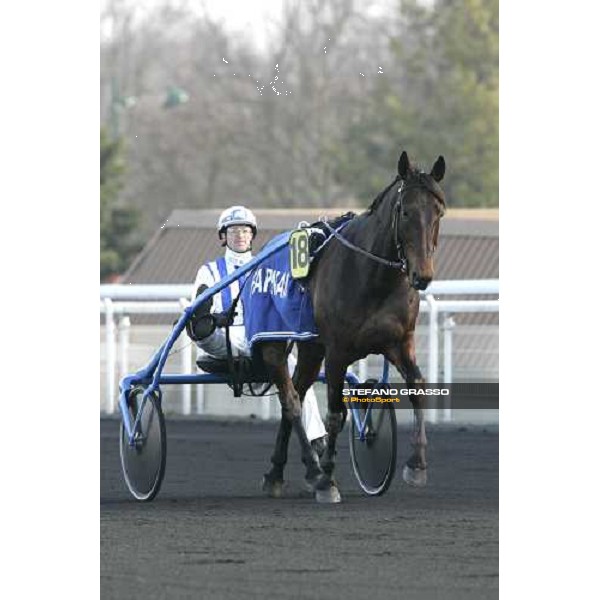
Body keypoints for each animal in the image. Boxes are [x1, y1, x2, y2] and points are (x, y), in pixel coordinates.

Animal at [258, 150, 446, 502]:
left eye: (438, 212)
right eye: (406, 211)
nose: (423, 275)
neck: (373, 277)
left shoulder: (400, 342)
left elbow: (417, 386)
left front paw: (416, 465)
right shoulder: (337, 350)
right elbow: (335, 413)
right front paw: (328, 480)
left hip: (310, 347)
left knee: (297, 391)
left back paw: (282, 471)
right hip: (275, 340)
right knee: (290, 399)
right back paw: (302, 471)